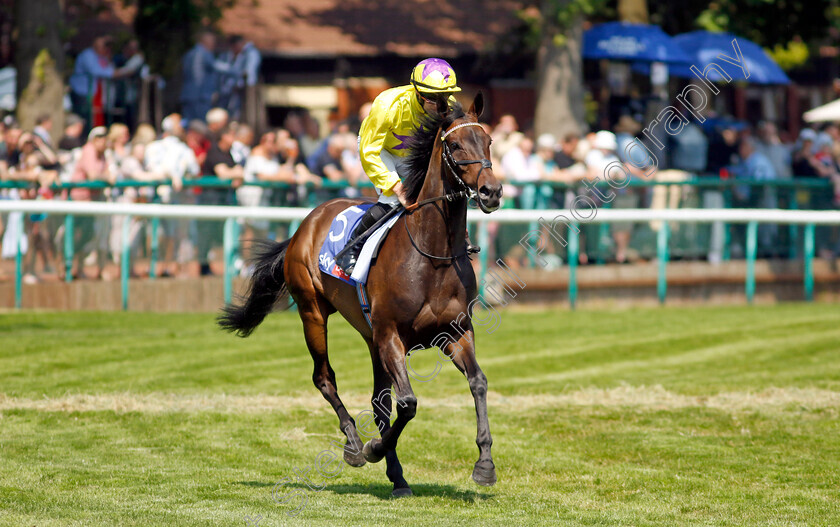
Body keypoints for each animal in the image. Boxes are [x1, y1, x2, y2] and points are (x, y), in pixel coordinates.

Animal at [220, 93, 502, 498]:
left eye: (489, 141)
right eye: (455, 145)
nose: (491, 191)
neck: (433, 255)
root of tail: (306, 223)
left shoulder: (456, 332)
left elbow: (478, 383)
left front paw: (484, 465)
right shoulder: (391, 335)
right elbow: (408, 402)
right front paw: (372, 449)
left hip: (371, 338)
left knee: (377, 400)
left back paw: (397, 477)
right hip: (313, 313)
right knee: (325, 378)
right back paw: (355, 445)